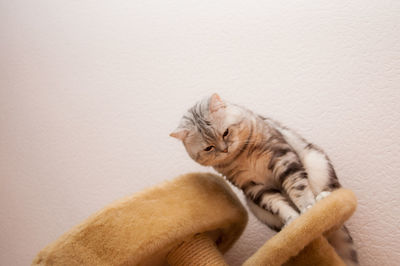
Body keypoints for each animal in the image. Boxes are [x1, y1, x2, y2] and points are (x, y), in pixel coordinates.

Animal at [170, 94, 358, 266]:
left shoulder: (283, 158)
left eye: (225, 133)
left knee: (328, 190)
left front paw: (308, 210)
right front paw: (293, 221)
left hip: (317, 163)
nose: (224, 150)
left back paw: (322, 199)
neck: (240, 157)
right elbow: (278, 204)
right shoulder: (254, 186)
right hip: (255, 207)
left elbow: (298, 188)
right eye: (209, 148)